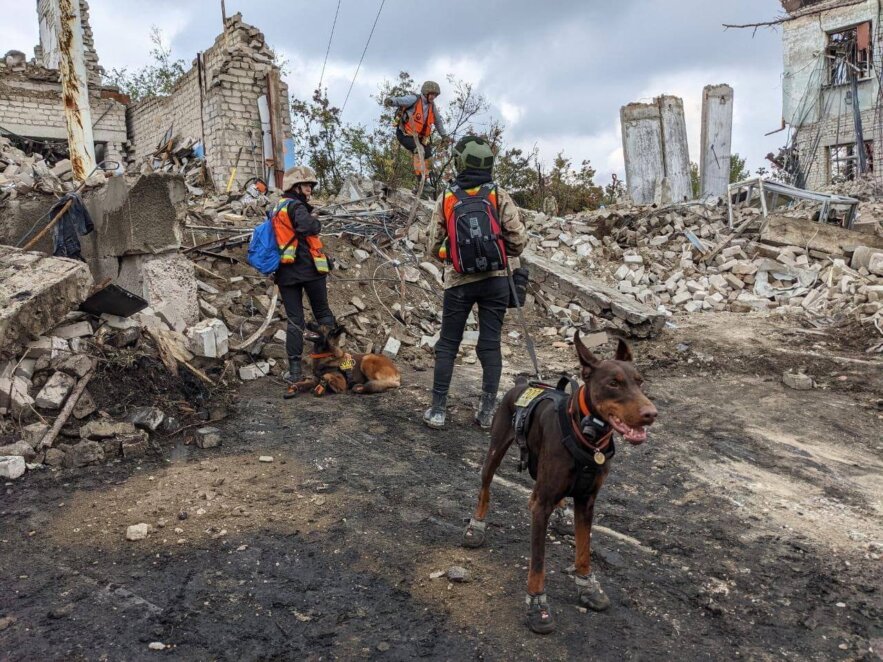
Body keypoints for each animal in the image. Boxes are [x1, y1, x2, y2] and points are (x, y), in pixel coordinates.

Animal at [462, 334, 656, 636]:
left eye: (640, 381)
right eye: (613, 383)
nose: (652, 413)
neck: (588, 436)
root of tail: (521, 384)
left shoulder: (587, 501)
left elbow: (584, 549)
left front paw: (587, 586)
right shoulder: (541, 506)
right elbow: (538, 562)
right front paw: (537, 605)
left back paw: (562, 513)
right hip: (496, 449)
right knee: (485, 487)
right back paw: (476, 526)